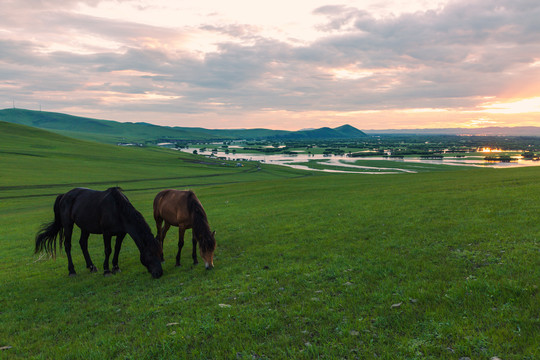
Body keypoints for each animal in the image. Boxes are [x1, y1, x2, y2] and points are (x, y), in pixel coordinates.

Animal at [34, 187, 162, 280]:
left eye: (160, 253)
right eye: (150, 254)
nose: (159, 273)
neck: (117, 209)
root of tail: (64, 195)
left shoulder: (121, 234)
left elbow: (117, 248)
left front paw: (115, 267)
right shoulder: (106, 233)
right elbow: (108, 250)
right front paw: (107, 270)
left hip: (85, 227)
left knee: (83, 243)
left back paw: (91, 267)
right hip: (68, 225)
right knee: (67, 245)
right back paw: (72, 271)